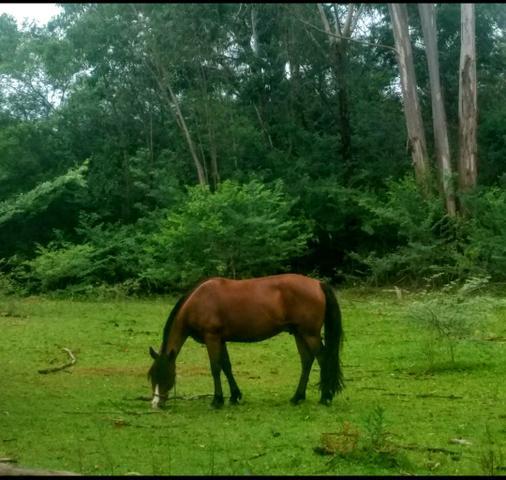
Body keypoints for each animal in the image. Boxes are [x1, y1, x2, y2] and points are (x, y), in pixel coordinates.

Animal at [146, 274, 344, 408]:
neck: (198, 301)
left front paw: (217, 400)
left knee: (323, 359)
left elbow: (215, 368)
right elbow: (226, 366)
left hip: (310, 334)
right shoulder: (220, 339)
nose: (156, 403)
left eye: (165, 375)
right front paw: (234, 396)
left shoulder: (212, 337)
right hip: (299, 333)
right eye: (152, 376)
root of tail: (318, 284)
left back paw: (325, 396)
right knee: (307, 361)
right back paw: (297, 397)